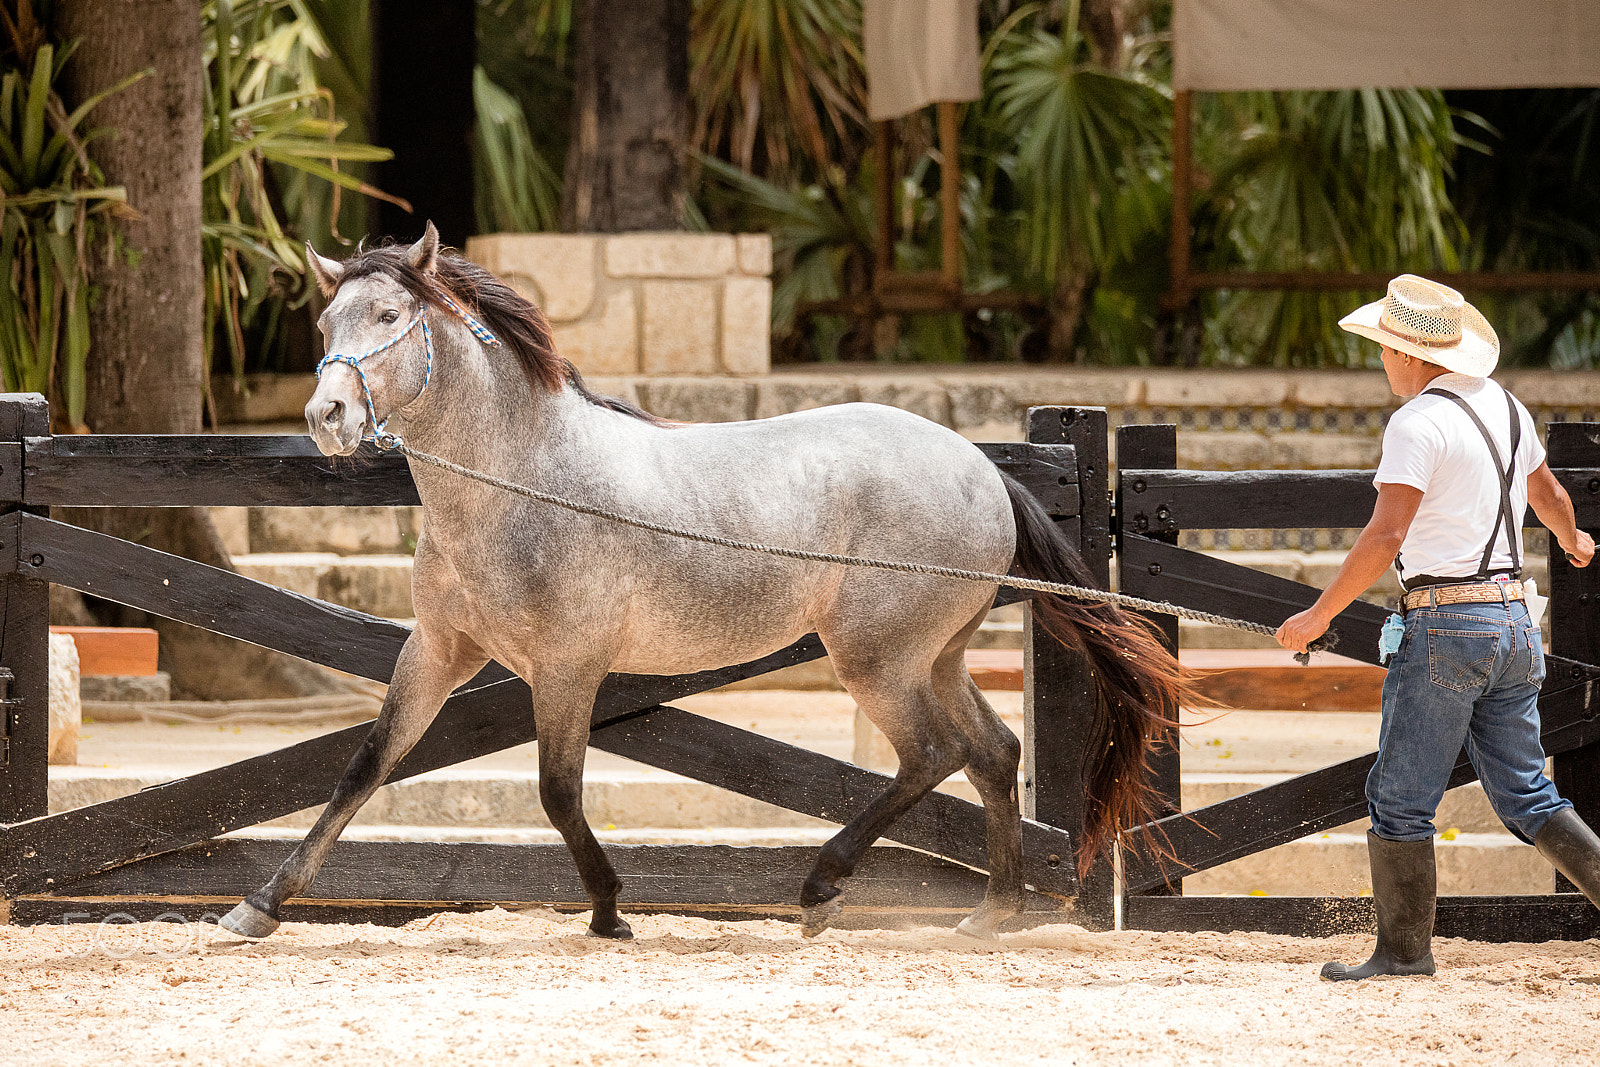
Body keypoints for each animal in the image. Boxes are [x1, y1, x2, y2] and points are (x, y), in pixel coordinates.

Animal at [218, 222, 1185, 942]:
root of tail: (983, 469)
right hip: (934, 656)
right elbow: (365, 764)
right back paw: (993, 913)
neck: (522, 481)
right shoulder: (438, 650)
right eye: (326, 324)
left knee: (933, 755)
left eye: (388, 313)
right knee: (993, 752)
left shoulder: (568, 666)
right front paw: (258, 906)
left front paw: (611, 912)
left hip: (877, 659)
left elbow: (557, 791)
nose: (326, 417)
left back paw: (823, 889)